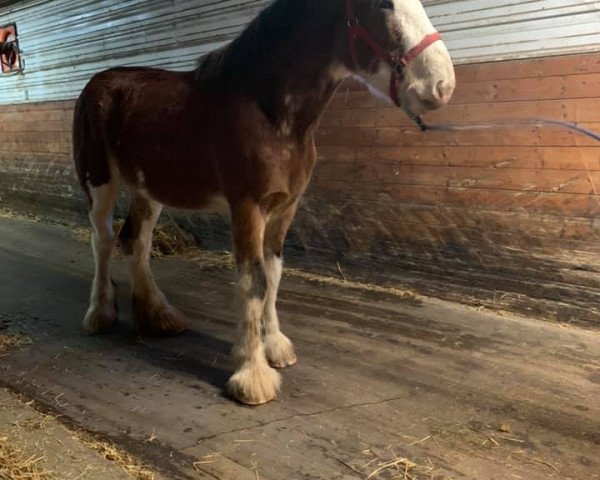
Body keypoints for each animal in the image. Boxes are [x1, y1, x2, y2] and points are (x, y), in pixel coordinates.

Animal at [71, 0, 454, 404]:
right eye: (380, 5)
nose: (441, 86)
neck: (268, 111)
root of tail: (98, 83)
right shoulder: (248, 206)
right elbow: (252, 281)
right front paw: (252, 376)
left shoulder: (285, 208)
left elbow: (272, 274)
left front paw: (275, 348)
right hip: (99, 183)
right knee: (103, 240)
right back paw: (100, 314)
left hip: (148, 189)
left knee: (136, 242)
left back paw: (158, 315)